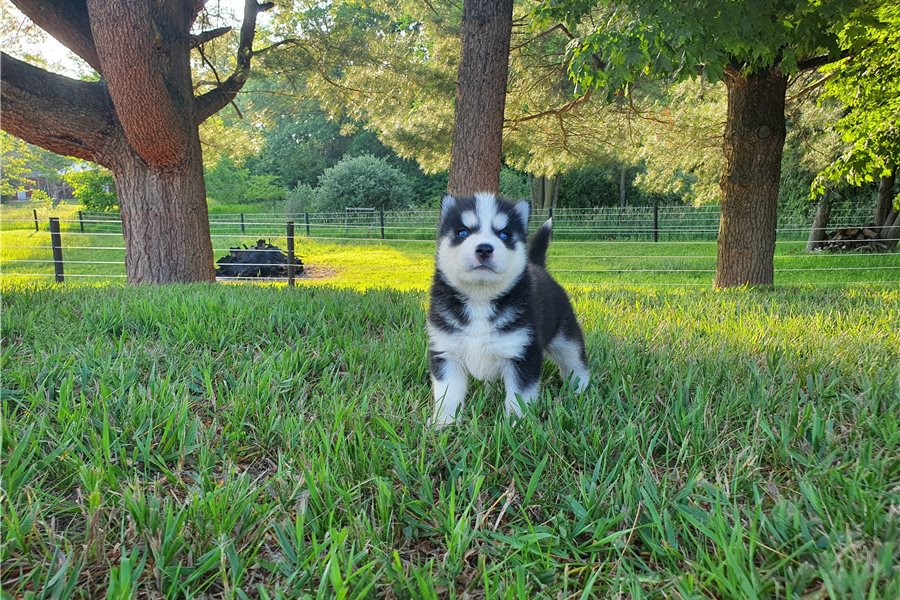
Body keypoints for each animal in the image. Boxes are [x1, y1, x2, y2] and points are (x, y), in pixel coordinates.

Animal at [427, 192, 589, 426]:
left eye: (504, 234)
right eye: (463, 232)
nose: (484, 248)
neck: (480, 299)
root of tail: (537, 265)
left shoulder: (523, 352)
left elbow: (519, 396)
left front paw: (515, 423)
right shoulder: (446, 352)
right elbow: (448, 394)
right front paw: (443, 423)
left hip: (565, 338)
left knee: (576, 362)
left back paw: (580, 390)